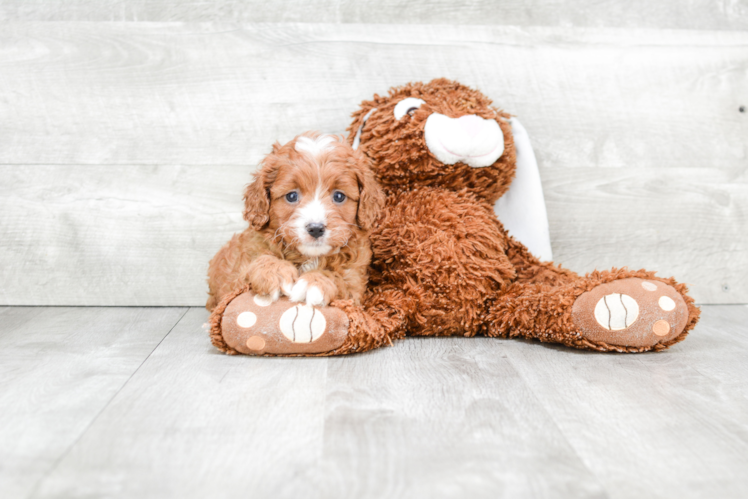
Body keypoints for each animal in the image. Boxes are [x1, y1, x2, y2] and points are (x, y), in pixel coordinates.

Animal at [207, 133, 382, 312]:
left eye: (339, 196)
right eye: (292, 196)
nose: (316, 228)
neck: (307, 257)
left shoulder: (355, 284)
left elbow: (339, 278)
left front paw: (314, 282)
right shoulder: (235, 279)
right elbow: (256, 262)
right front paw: (274, 271)